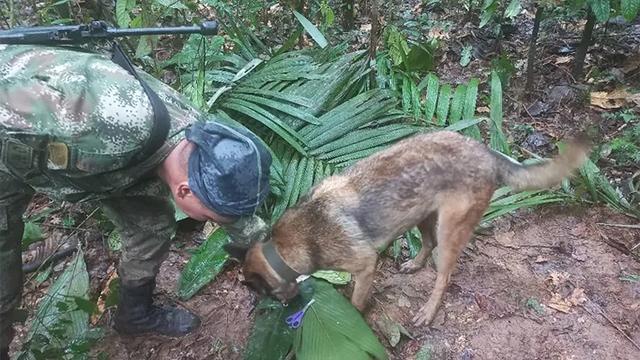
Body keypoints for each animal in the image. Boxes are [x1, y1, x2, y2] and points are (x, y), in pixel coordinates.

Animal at [229, 130, 592, 326]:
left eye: (264, 293)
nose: (282, 310)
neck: (285, 247)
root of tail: (486, 152)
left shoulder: (365, 264)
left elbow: (356, 301)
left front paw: (352, 316)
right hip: (422, 214)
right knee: (427, 244)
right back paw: (414, 265)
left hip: (449, 230)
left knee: (444, 275)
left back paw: (428, 311)